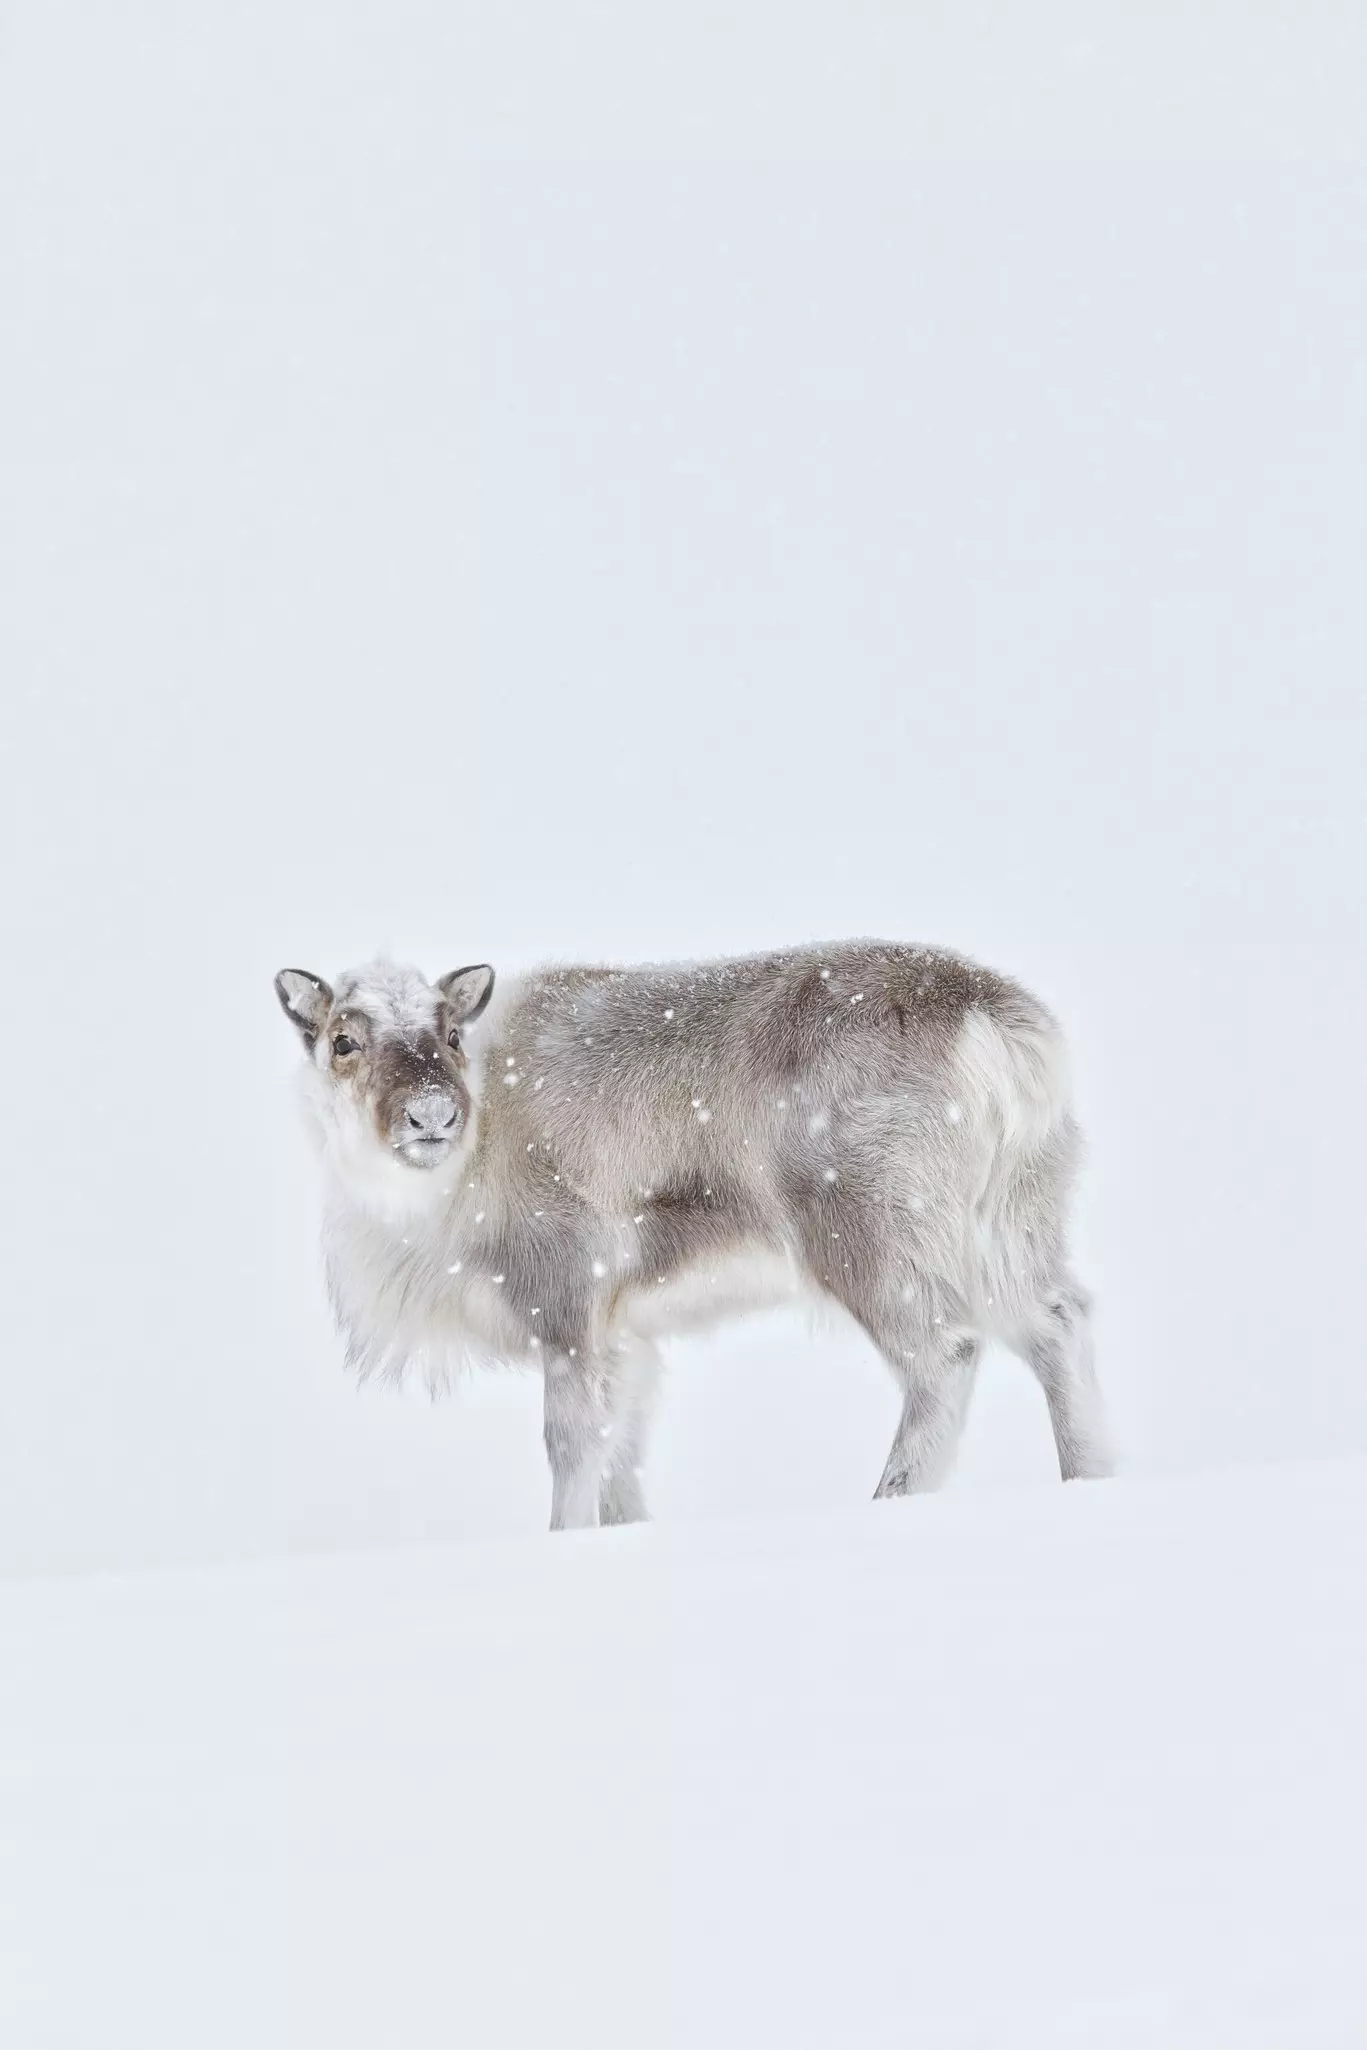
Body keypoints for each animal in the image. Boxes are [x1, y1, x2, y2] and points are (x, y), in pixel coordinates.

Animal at [275, 942, 1112, 1531]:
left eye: (450, 1032)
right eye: (343, 1041)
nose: (432, 1116)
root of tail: (997, 1025)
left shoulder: (568, 1302)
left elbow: (572, 1449)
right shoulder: (625, 1339)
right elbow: (621, 1464)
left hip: (876, 1239)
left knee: (946, 1356)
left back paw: (887, 1500)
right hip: (1010, 1223)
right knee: (1059, 1321)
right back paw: (1092, 1476)